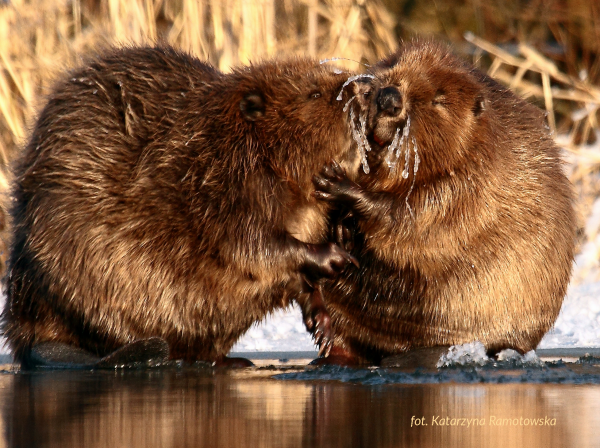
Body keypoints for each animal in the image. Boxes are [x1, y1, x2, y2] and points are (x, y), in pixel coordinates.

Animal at [0, 44, 368, 368]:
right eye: (314, 95)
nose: (359, 88)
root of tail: (31, 335)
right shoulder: (226, 186)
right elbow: (252, 246)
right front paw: (334, 256)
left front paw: (323, 323)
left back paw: (235, 360)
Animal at [312, 40, 576, 366]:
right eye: (393, 62)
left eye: (439, 99)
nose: (389, 98)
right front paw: (341, 226)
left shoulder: (469, 181)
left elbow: (410, 216)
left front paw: (336, 184)